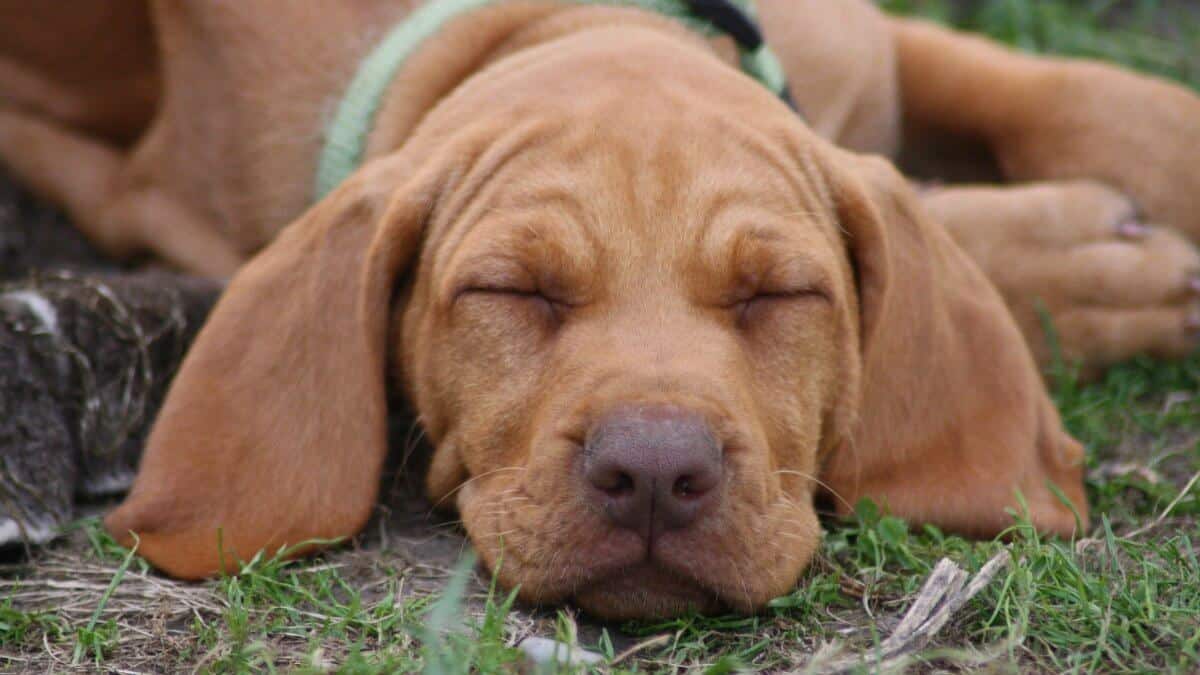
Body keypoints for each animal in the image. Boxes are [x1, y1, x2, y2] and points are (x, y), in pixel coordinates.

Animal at [2, 1, 1200, 619]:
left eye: (777, 293)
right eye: (512, 291)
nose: (657, 476)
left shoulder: (859, 43)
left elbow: (1092, 100)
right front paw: (1089, 267)